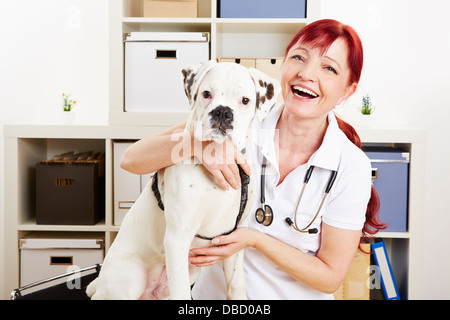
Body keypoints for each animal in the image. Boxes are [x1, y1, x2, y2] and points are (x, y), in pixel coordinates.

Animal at [86, 60, 280, 300]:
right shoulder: (177, 238)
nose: (222, 112)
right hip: (131, 277)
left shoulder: (235, 238)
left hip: (189, 273)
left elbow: (236, 285)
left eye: (245, 100)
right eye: (206, 94)